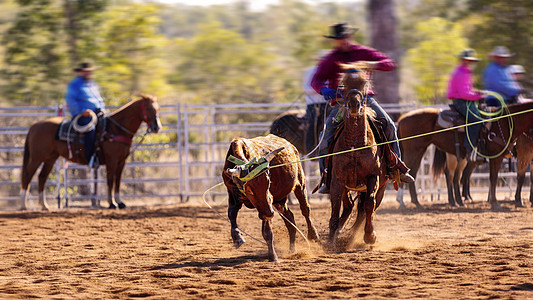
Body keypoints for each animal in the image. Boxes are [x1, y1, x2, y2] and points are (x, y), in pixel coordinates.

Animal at [20, 95, 161, 210]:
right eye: (149, 109)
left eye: (157, 109)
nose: (157, 127)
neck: (115, 130)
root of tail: (34, 126)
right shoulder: (112, 160)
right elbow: (110, 180)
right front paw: (111, 203)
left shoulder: (122, 161)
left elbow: (118, 182)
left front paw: (120, 203)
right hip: (36, 158)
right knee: (27, 176)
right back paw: (23, 205)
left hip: (50, 158)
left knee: (42, 177)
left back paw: (44, 205)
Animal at [326, 65, 388, 246]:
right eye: (344, 85)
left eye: (364, 84)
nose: (354, 104)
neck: (355, 145)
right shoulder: (337, 181)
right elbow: (335, 208)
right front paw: (331, 240)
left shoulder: (373, 177)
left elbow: (368, 204)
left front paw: (370, 235)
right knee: (348, 206)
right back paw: (340, 232)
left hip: (382, 188)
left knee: (365, 208)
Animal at [396, 101, 533, 209]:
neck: (505, 122)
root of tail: (401, 119)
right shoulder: (502, 156)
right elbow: (495, 178)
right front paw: (496, 203)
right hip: (414, 151)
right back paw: (402, 202)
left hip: (424, 151)